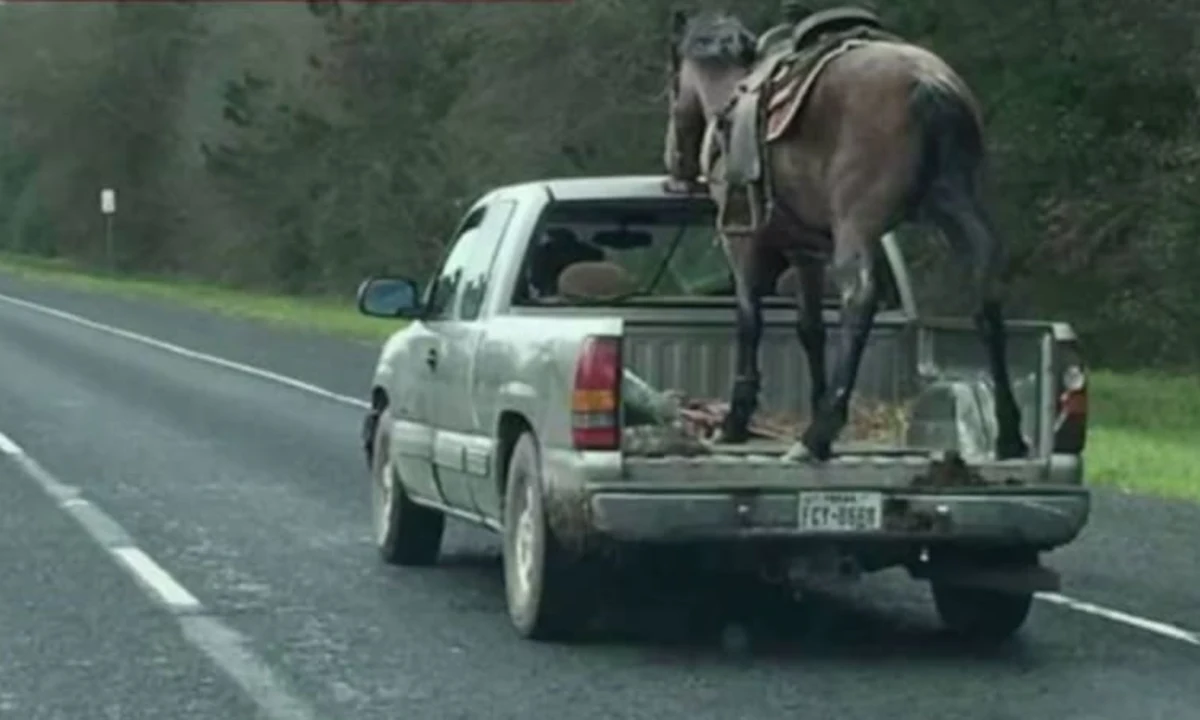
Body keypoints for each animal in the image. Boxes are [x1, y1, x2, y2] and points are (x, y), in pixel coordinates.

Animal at [662, 7, 1027, 460]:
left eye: (672, 83)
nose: (674, 165)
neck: (730, 98)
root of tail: (930, 84)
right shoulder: (806, 253)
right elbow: (811, 329)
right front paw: (814, 398)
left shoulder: (743, 244)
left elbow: (749, 321)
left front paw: (736, 421)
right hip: (957, 210)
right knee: (986, 293)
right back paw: (1009, 434)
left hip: (859, 225)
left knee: (861, 297)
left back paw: (817, 435)